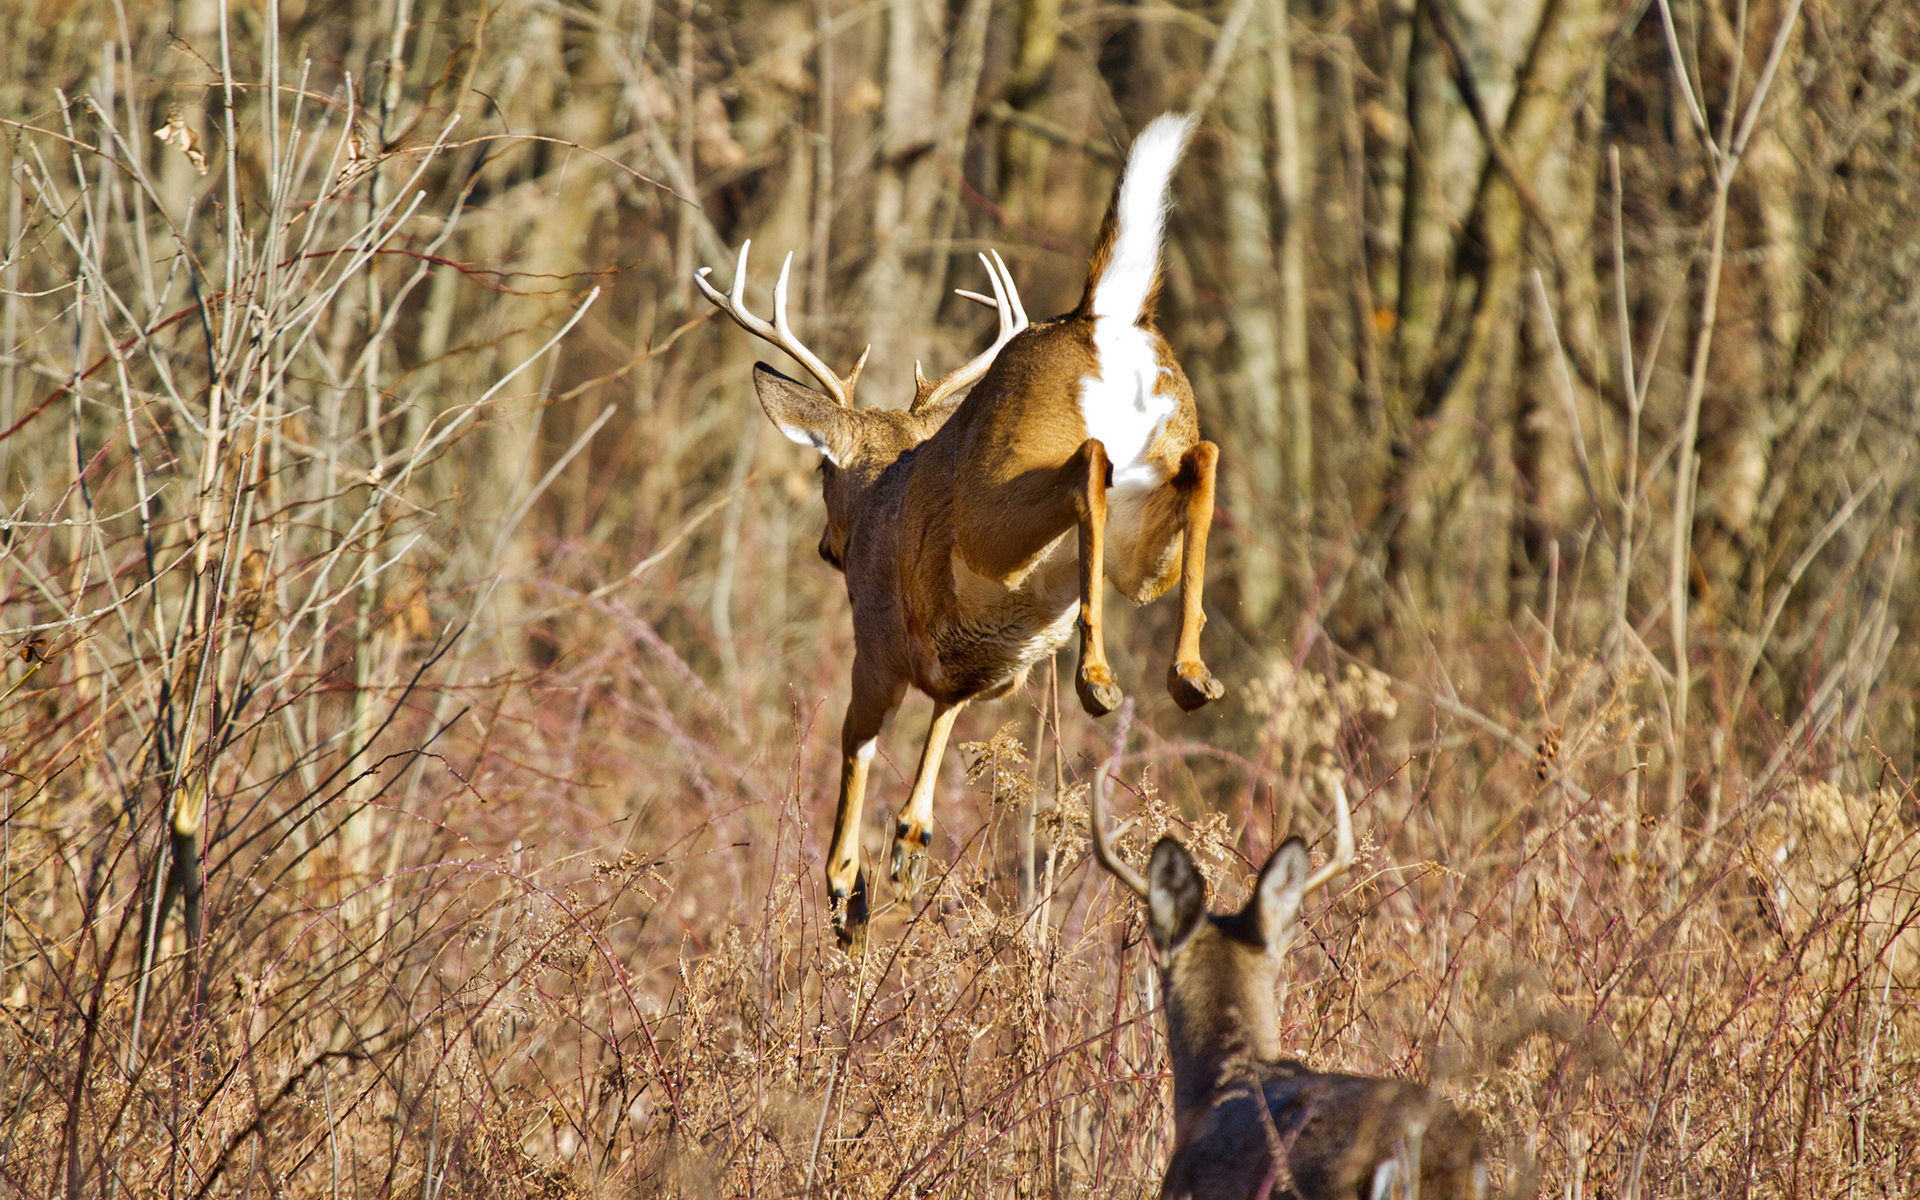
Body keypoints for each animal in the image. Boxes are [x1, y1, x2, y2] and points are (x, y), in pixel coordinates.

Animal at [696, 113, 1223, 951]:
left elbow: (855, 747)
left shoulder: (878, 644)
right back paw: (1187, 674)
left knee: (1089, 466)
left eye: (821, 472)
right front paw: (908, 847)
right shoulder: (975, 666)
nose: (828, 549)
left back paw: (1099, 678)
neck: (883, 490)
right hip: (1147, 520)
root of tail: (1097, 318)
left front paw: (847, 891)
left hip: (998, 510)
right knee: (1196, 462)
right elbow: (944, 716)